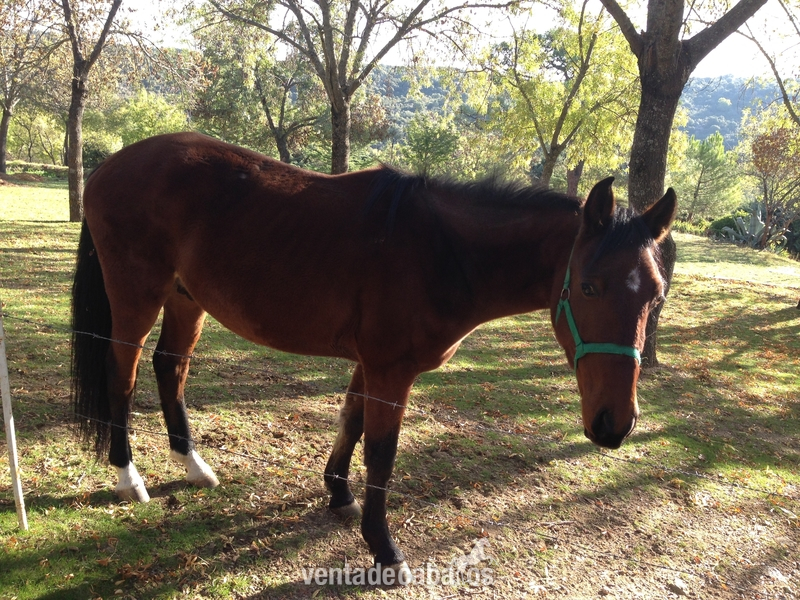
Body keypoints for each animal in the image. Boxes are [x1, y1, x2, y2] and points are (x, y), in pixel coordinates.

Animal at [71, 132, 676, 581]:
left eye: (657, 293)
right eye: (590, 287)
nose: (615, 424)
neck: (441, 251)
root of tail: (109, 166)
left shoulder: (371, 365)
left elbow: (350, 421)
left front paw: (338, 494)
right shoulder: (391, 371)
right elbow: (381, 453)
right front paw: (384, 549)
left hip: (185, 299)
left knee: (170, 367)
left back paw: (192, 465)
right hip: (137, 296)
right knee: (121, 374)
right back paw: (128, 476)